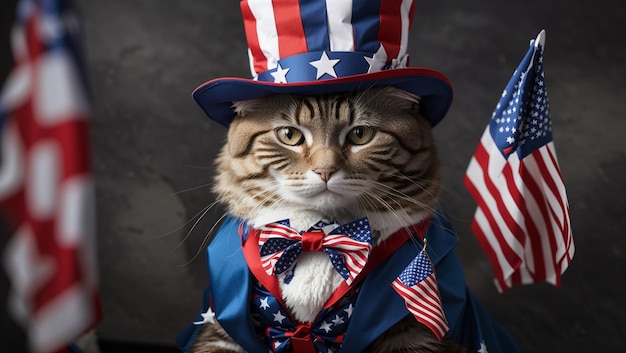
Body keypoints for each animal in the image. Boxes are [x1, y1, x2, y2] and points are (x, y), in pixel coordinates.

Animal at [185, 86, 468, 352]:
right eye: (289, 135)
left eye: (360, 134)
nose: (325, 170)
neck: (320, 233)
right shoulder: (221, 326)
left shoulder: (412, 333)